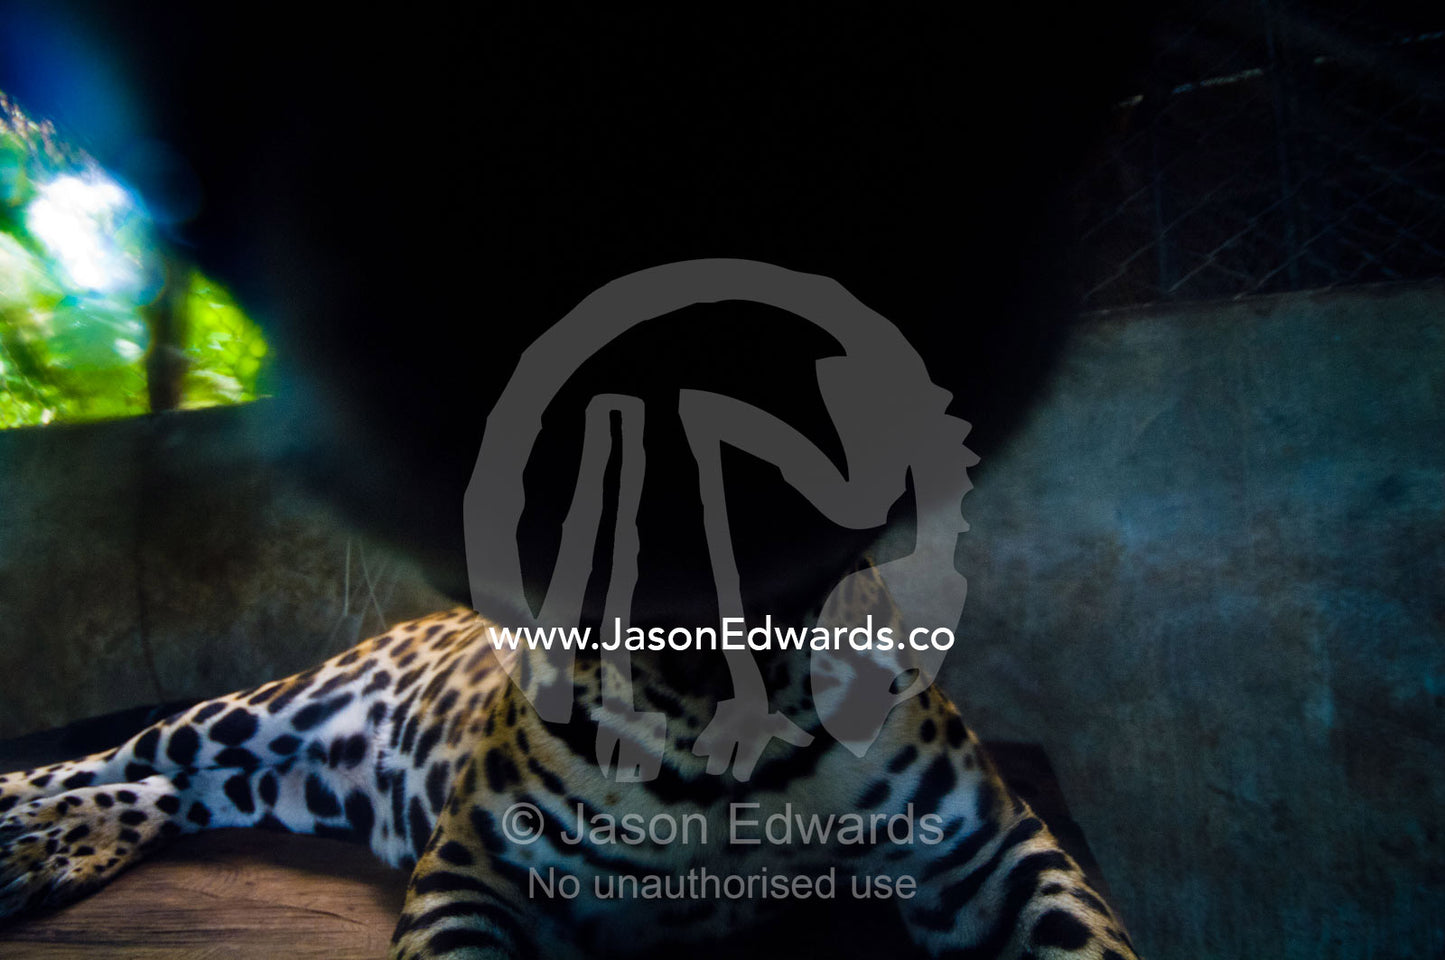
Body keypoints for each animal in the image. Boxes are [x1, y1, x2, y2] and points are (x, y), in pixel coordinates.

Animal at [0, 564, 1139, 959]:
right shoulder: (475, 870)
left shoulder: (983, 856)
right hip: (260, 714)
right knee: (121, 757)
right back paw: (25, 826)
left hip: (286, 784)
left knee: (178, 794)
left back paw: (46, 851)